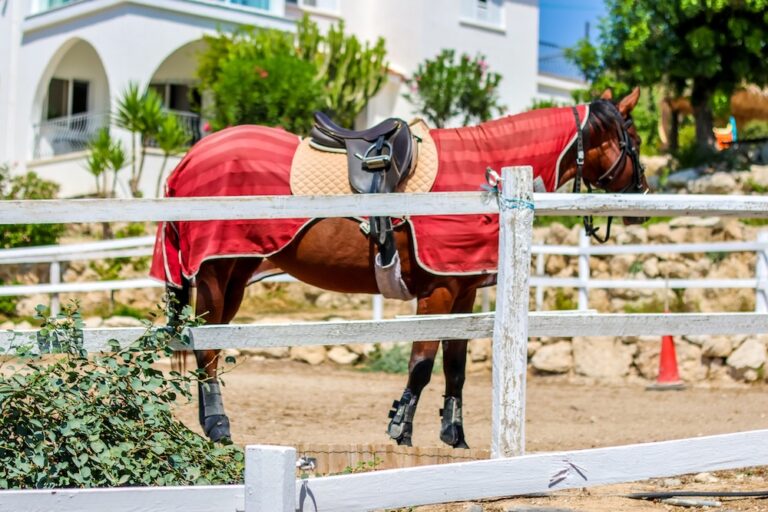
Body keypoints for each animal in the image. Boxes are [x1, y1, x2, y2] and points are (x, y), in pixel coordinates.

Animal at [152, 87, 649, 448]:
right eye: (637, 142)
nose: (642, 200)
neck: (483, 175)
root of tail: (189, 158)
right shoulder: (439, 291)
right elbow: (422, 364)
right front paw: (399, 430)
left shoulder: (464, 292)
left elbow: (455, 366)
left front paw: (455, 436)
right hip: (215, 273)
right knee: (207, 348)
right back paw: (219, 426)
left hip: (235, 274)